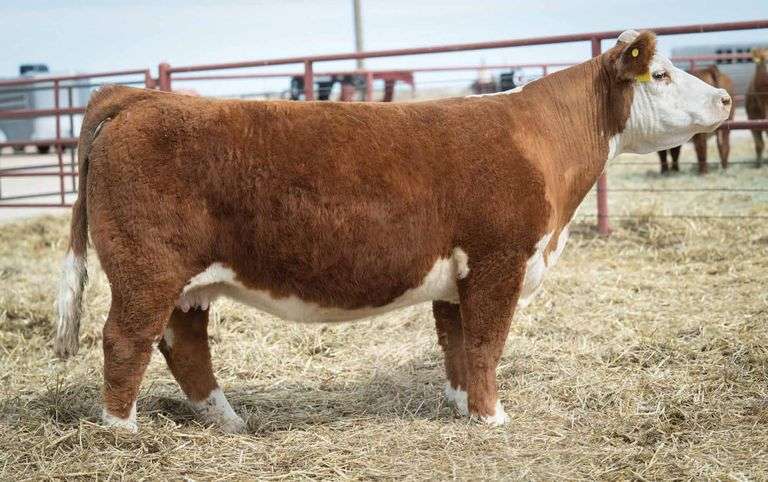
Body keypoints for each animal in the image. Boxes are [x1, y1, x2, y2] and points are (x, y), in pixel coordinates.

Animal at [54, 30, 731, 433]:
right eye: (661, 75)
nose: (725, 102)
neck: (540, 141)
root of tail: (137, 98)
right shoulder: (500, 259)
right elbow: (487, 343)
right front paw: (493, 419)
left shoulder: (459, 275)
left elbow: (458, 346)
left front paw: (461, 406)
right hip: (147, 269)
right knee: (125, 340)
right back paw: (123, 433)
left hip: (184, 281)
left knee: (183, 344)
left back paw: (231, 422)